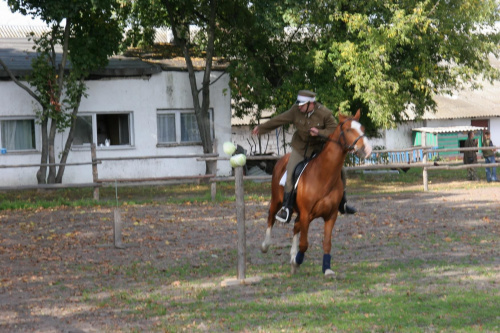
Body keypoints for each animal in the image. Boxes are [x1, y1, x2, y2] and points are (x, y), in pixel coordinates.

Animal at [262, 110, 372, 276]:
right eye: (347, 130)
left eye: (363, 129)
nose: (366, 149)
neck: (323, 174)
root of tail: (282, 159)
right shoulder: (306, 214)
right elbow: (304, 244)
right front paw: (297, 261)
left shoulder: (330, 215)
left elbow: (327, 243)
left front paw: (326, 269)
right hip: (277, 200)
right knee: (271, 217)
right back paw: (266, 245)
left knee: (295, 227)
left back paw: (292, 256)